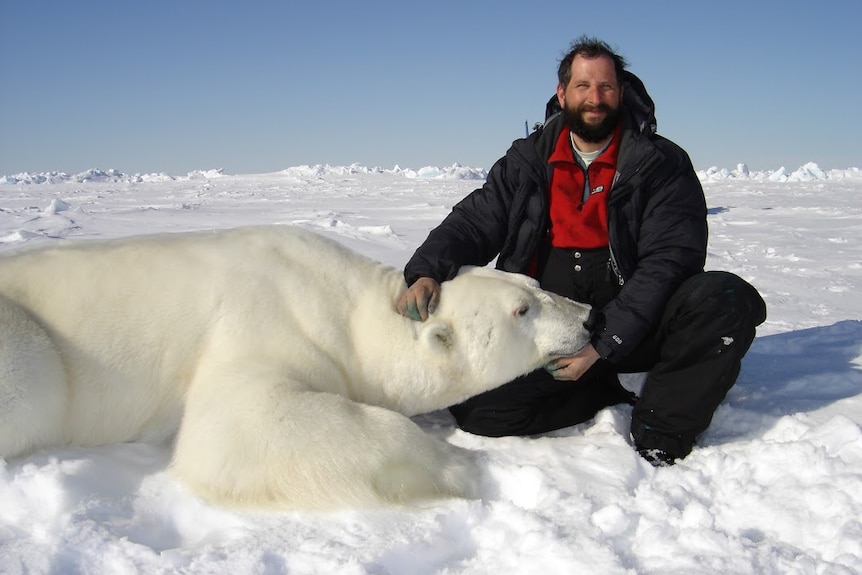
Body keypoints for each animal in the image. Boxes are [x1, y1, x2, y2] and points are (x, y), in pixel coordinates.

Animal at [0, 225, 592, 508]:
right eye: (522, 310)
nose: (587, 318)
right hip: (29, 343)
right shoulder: (265, 322)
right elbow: (235, 426)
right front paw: (460, 467)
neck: (348, 308)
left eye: (534, 284)